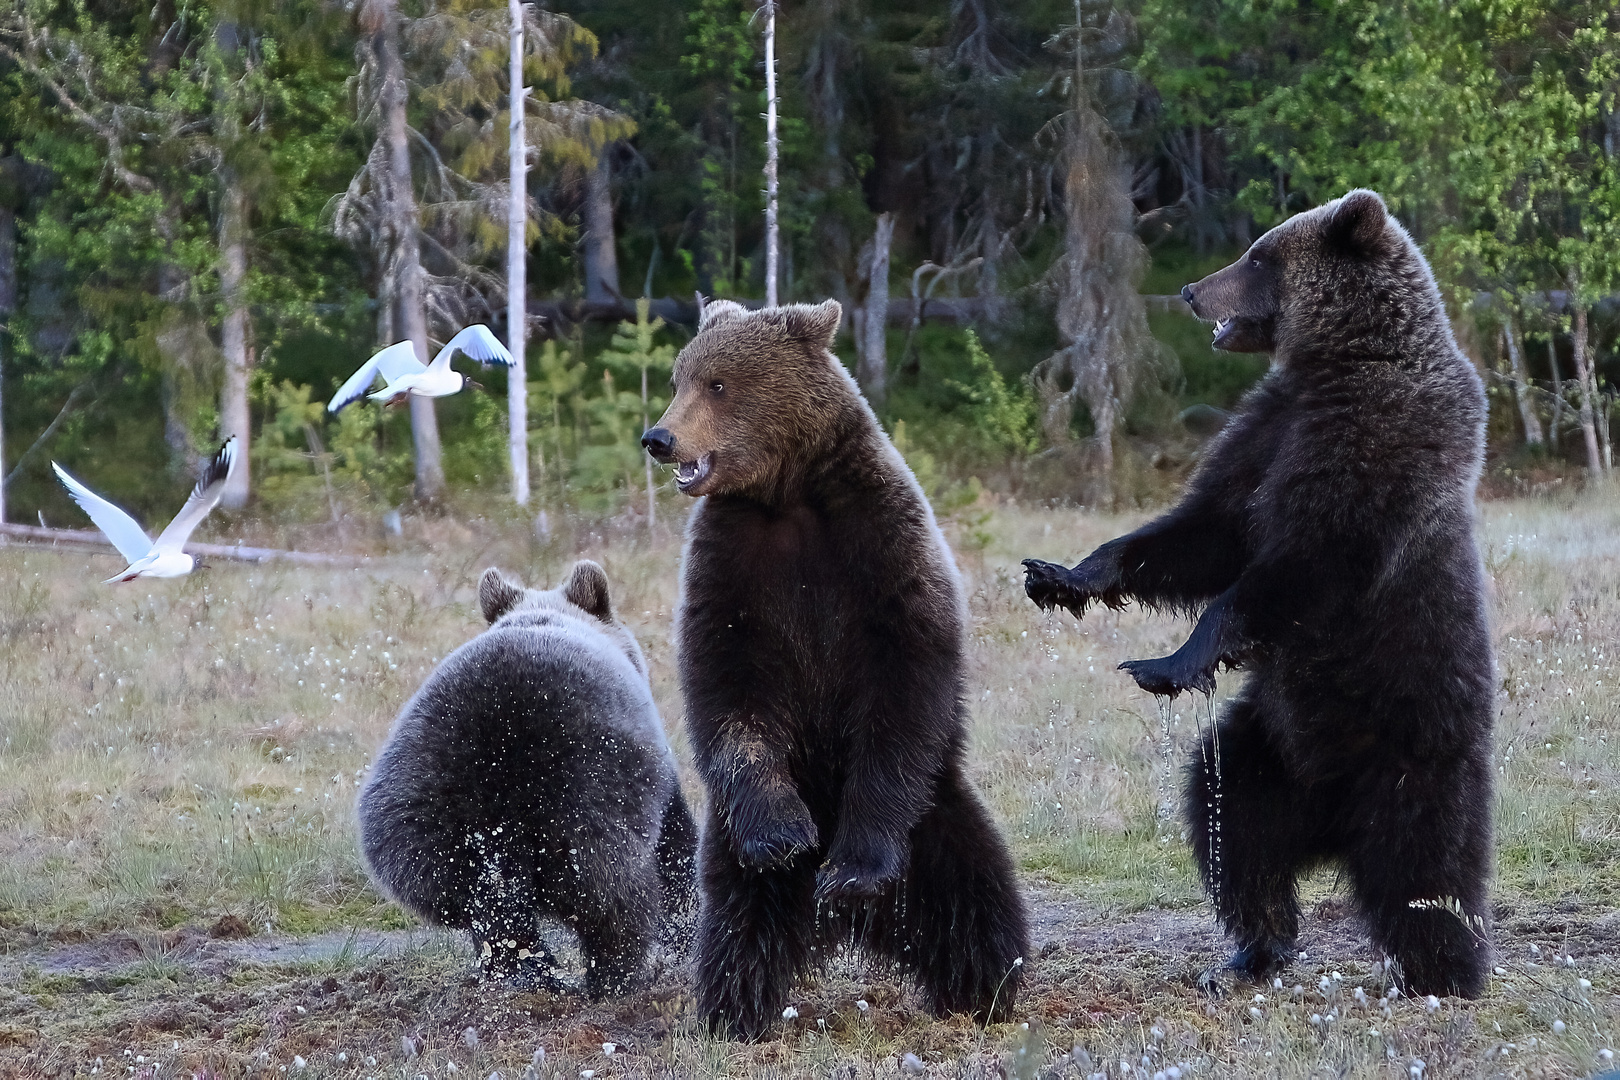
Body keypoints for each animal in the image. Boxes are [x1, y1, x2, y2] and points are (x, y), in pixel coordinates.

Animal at [356, 566, 696, 997]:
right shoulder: (651, 767)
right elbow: (675, 847)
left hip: (417, 810)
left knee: (489, 912)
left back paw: (524, 973)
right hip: (587, 796)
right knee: (612, 896)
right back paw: (615, 976)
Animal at [641, 302, 1030, 1036]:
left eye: (718, 383)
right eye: (679, 377)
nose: (659, 437)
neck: (787, 494)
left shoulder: (878, 541)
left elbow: (906, 679)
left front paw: (855, 869)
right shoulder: (732, 565)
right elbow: (728, 689)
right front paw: (785, 836)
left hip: (936, 816)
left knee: (974, 898)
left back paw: (981, 985)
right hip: (729, 841)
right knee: (740, 921)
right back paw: (737, 1009)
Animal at [1023, 190, 1490, 1003]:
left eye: (1259, 256)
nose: (1189, 289)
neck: (1338, 364)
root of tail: (1334, 822)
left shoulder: (1374, 450)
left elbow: (1296, 569)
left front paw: (1166, 665)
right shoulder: (1268, 432)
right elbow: (1204, 533)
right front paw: (1060, 577)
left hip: (1417, 741)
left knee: (1425, 864)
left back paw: (1444, 971)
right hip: (1268, 749)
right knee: (1235, 823)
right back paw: (1249, 954)